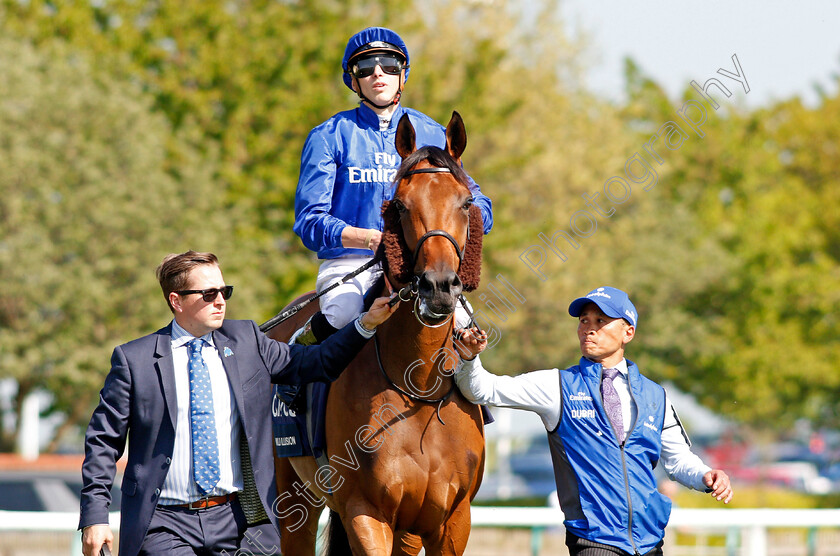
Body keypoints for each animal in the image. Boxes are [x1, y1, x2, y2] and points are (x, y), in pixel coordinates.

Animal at [266, 113, 488, 556]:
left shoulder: (452, 520)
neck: (418, 388)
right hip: (294, 494)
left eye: (466, 202)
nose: (439, 287)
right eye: (399, 205)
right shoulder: (365, 512)